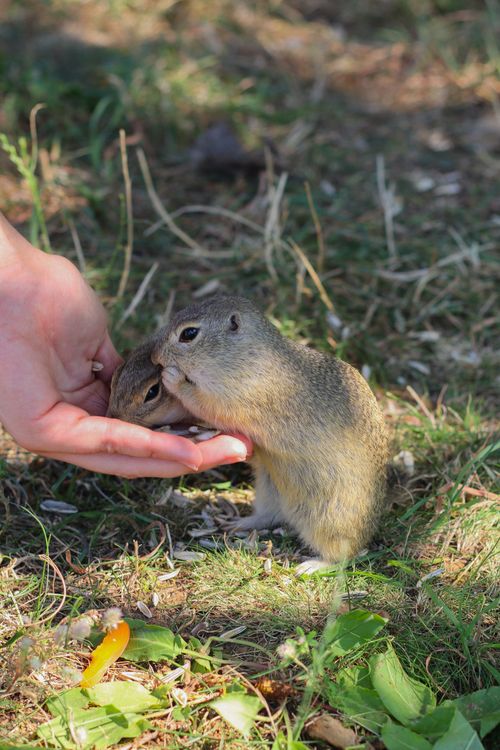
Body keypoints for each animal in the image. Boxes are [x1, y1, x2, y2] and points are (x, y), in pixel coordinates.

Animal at [140, 295, 390, 574]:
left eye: (189, 334)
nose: (155, 356)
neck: (245, 357)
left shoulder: (237, 400)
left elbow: (202, 402)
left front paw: (172, 377)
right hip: (269, 489)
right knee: (270, 516)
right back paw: (239, 523)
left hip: (328, 520)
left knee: (344, 556)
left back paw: (313, 565)